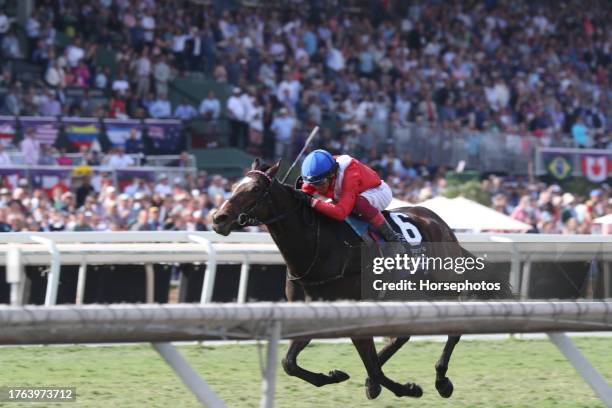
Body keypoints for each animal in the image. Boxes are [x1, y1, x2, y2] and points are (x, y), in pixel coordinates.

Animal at [212, 159, 512, 398]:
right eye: (234, 186)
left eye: (254, 190)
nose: (218, 218)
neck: (319, 247)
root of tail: (442, 225)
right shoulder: (313, 309)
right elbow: (289, 363)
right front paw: (334, 376)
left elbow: (373, 368)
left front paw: (408, 389)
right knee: (400, 337)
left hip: (442, 287)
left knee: (453, 329)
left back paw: (441, 380)